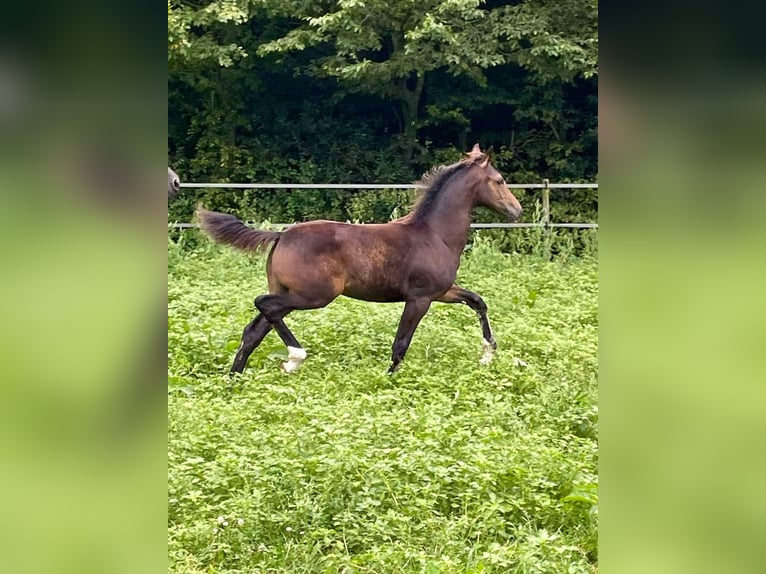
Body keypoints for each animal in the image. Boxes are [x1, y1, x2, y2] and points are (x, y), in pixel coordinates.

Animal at [196, 145, 520, 374]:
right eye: (500, 180)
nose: (516, 210)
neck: (435, 234)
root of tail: (281, 235)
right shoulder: (420, 298)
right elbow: (401, 344)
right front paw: (388, 380)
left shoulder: (441, 291)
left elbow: (477, 301)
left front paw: (488, 354)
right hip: (314, 295)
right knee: (263, 304)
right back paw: (295, 358)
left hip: (289, 292)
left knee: (254, 330)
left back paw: (235, 378)